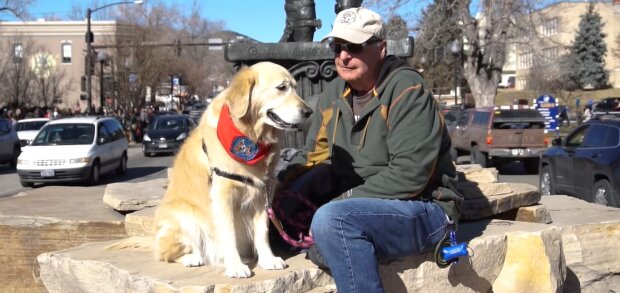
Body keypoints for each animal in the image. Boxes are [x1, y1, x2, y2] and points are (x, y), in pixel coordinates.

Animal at [153, 61, 312, 276]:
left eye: (295, 87)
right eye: (281, 87)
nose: (308, 111)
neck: (251, 136)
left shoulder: (263, 194)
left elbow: (262, 232)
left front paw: (268, 259)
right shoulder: (223, 196)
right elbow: (229, 234)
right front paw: (236, 266)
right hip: (185, 218)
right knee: (165, 253)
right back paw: (192, 258)